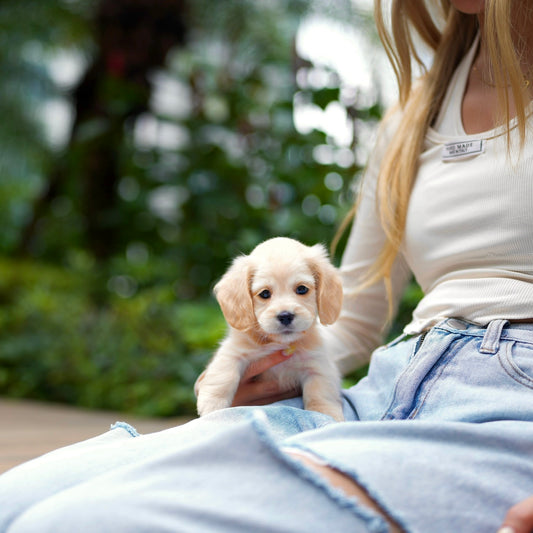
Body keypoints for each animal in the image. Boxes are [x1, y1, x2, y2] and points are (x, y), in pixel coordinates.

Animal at [196, 236, 344, 420]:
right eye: (265, 293)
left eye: (302, 289)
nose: (285, 315)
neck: (281, 343)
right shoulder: (233, 351)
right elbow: (224, 373)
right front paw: (212, 404)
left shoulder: (318, 367)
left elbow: (321, 393)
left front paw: (326, 413)